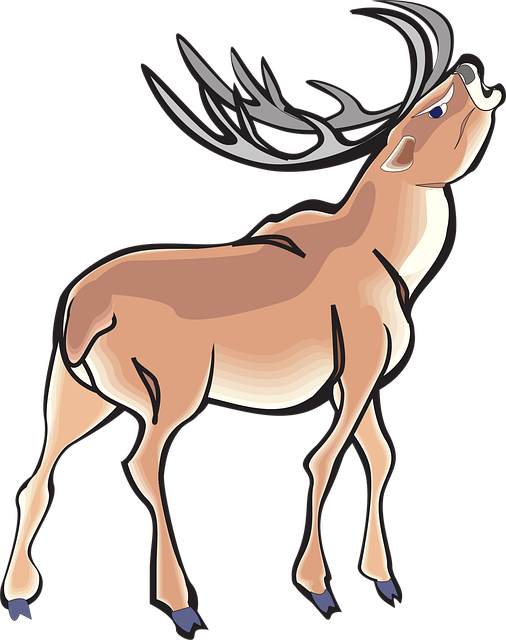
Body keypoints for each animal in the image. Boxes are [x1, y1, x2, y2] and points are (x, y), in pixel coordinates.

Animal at [2, 1, 503, 636]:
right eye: (434, 108)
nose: (469, 66)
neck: (390, 258)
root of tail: (82, 311)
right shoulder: (361, 362)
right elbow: (323, 460)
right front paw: (319, 589)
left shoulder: (356, 379)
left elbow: (381, 456)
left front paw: (384, 579)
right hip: (176, 386)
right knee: (142, 463)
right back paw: (182, 604)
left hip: (73, 391)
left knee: (36, 478)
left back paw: (19, 597)